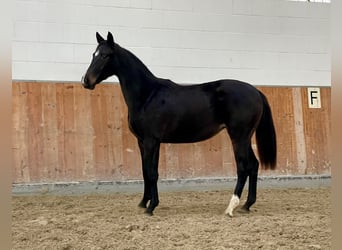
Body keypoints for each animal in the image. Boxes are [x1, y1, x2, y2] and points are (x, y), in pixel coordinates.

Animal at [83, 32, 278, 217]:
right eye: (94, 54)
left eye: (106, 55)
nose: (86, 81)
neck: (148, 95)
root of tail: (255, 91)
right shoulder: (144, 142)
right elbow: (146, 171)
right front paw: (144, 203)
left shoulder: (151, 141)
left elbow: (152, 173)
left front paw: (151, 207)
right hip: (246, 137)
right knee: (253, 165)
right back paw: (247, 205)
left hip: (238, 136)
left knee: (243, 167)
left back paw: (231, 207)